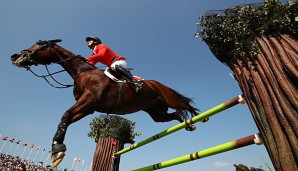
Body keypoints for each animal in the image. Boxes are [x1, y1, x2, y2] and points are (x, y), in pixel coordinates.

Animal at [11, 39, 207, 168]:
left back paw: (200, 117)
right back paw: (189, 125)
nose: (15, 56)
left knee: (184, 106)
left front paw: (57, 150)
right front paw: (57, 151)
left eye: (39, 45)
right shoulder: (88, 108)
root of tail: (157, 84)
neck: (82, 72)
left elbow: (65, 115)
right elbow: (65, 119)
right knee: (173, 115)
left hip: (169, 99)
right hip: (156, 113)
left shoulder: (88, 101)